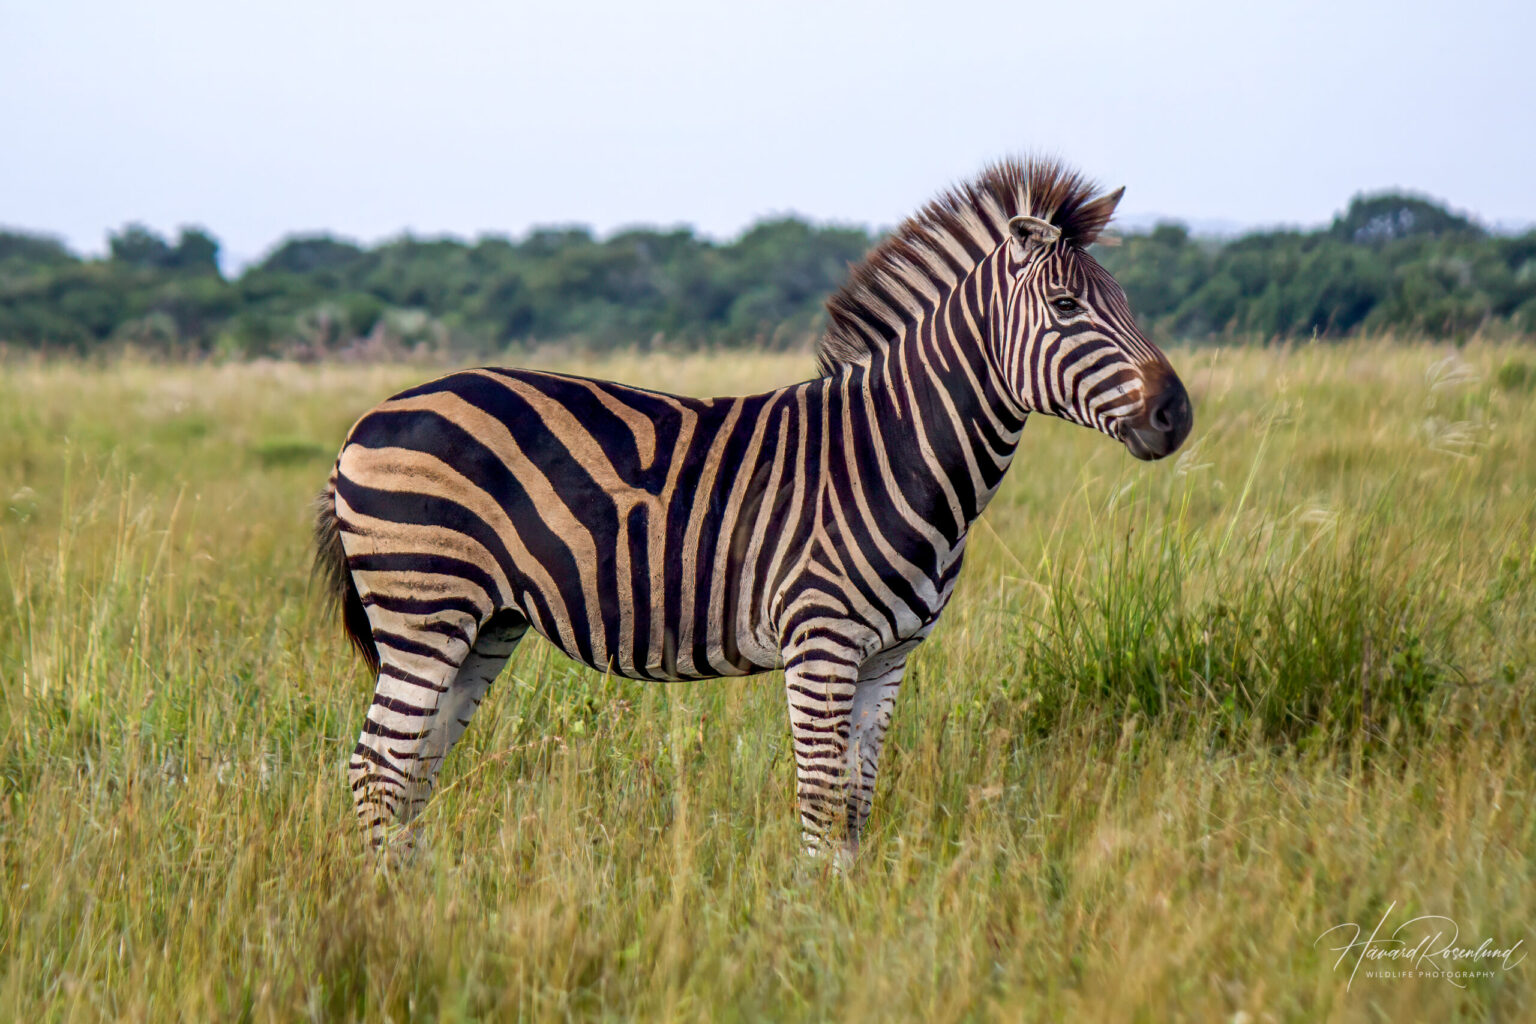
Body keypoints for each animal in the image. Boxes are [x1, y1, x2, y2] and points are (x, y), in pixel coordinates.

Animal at [314, 157, 1193, 860]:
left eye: (1125, 301)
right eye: (1069, 309)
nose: (1176, 414)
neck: (896, 451)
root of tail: (370, 418)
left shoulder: (890, 655)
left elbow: (857, 802)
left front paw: (850, 919)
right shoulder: (822, 641)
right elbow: (821, 799)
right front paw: (807, 933)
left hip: (484, 624)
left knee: (412, 769)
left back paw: (429, 896)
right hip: (425, 607)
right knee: (377, 766)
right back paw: (395, 912)